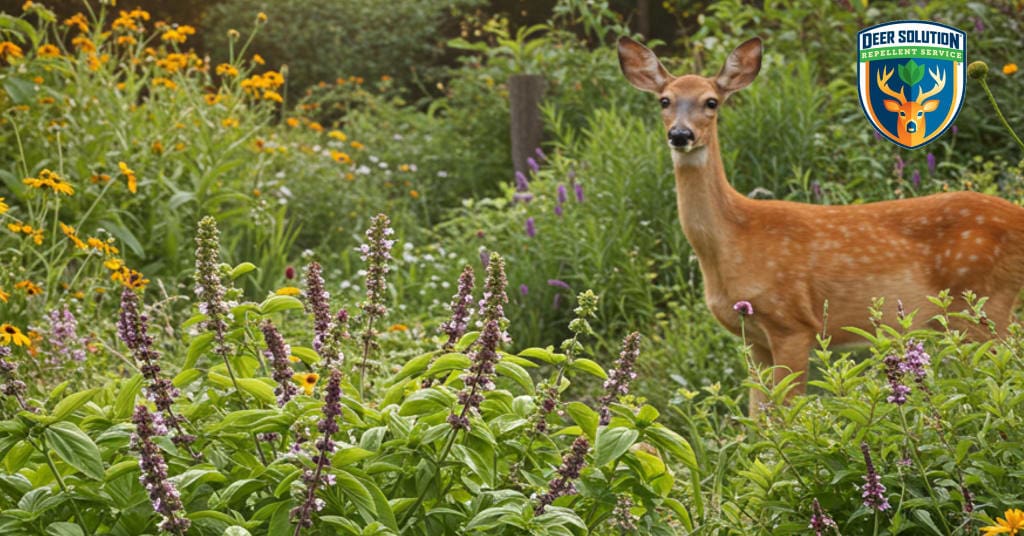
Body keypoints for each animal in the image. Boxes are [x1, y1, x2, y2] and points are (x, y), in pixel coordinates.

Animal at [618, 36, 1024, 416]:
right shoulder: (753, 338)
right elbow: (759, 422)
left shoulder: (793, 323)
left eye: (711, 102)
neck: (732, 240)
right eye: (664, 101)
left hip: (982, 302)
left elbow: (788, 416)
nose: (680, 135)